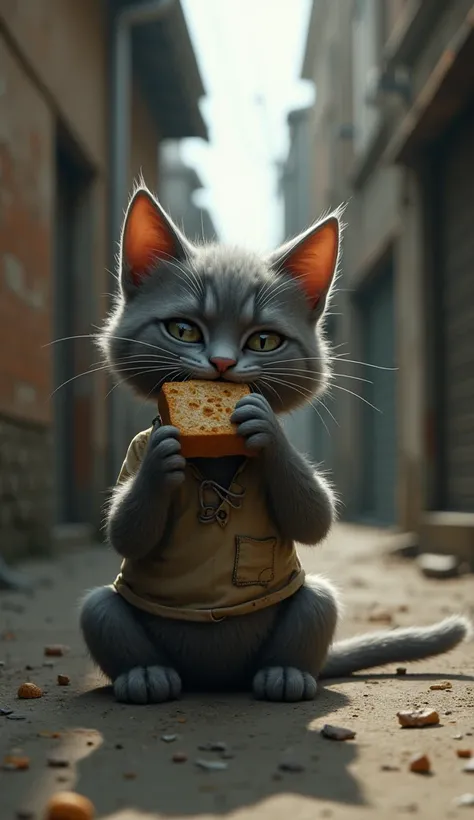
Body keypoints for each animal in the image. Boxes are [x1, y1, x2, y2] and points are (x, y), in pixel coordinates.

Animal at [79, 186, 468, 704]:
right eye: (183, 330)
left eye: (263, 341)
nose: (222, 364)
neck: (219, 454)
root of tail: (216, 681)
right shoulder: (133, 453)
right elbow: (126, 532)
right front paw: (164, 456)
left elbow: (314, 517)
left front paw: (264, 427)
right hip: (107, 613)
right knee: (101, 610)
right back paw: (146, 675)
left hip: (312, 605)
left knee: (314, 609)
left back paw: (284, 675)